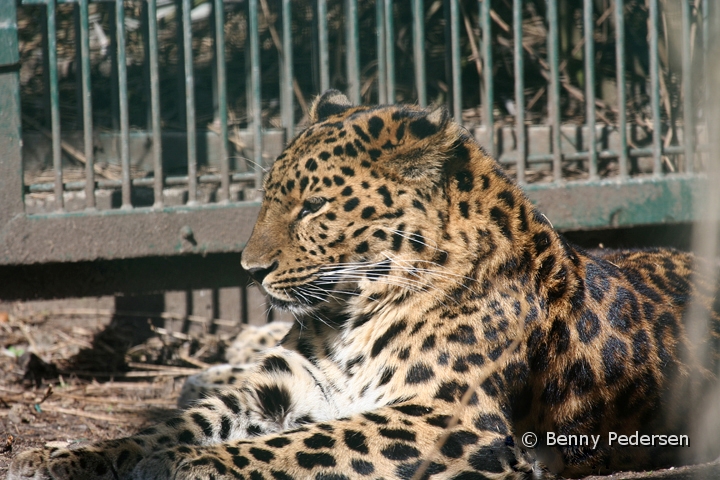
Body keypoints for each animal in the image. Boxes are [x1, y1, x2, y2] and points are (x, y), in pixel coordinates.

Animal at [7, 90, 720, 480]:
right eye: (269, 197)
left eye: (315, 207)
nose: (248, 270)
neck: (351, 310)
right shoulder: (286, 385)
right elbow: (183, 423)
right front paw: (75, 457)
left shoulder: (444, 415)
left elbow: (310, 441)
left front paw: (194, 465)